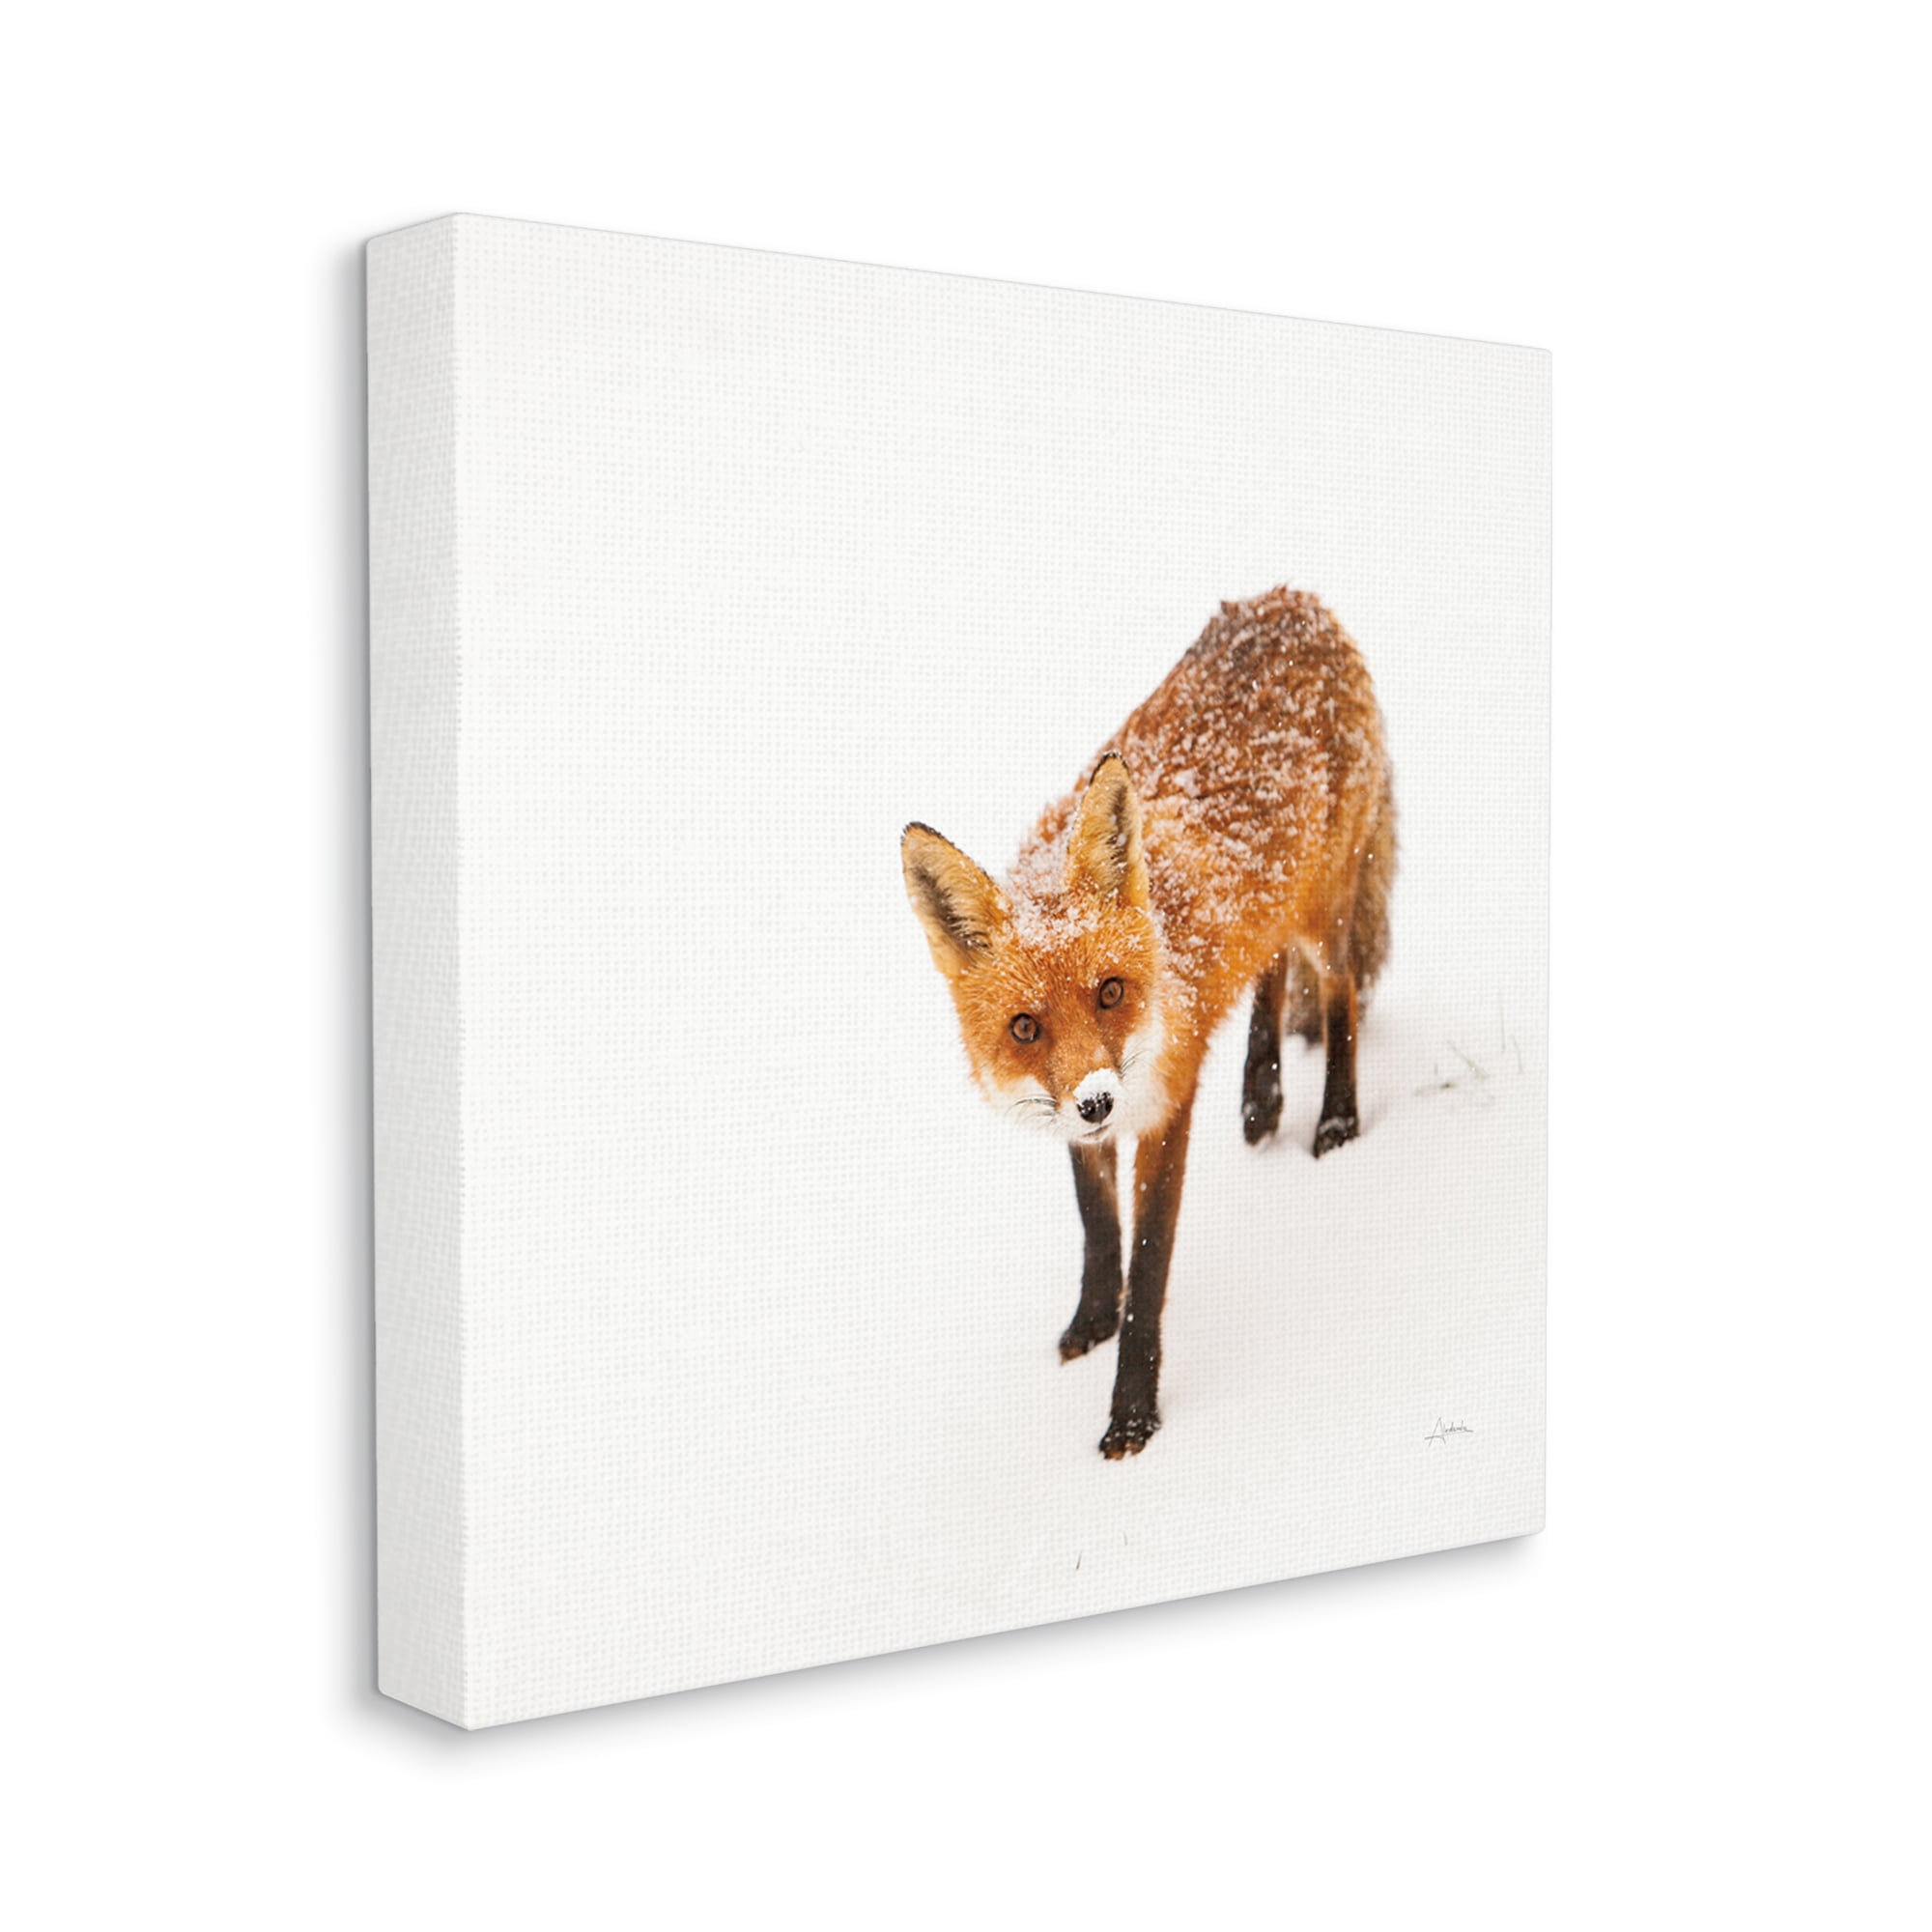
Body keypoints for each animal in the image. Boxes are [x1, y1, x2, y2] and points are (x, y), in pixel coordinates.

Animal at [901, 585, 1395, 1459]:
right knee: (1267, 967)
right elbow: (1098, 1229)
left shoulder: (1166, 1108)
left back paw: (1335, 1121)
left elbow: (1150, 1264)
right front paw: (1090, 1323)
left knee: (1334, 995)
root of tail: (1290, 597)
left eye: (1109, 991)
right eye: (1024, 1028)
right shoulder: (1075, 1118)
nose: (1098, 1100)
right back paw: (1261, 1097)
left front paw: (1132, 1412)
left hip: (1325, 911)